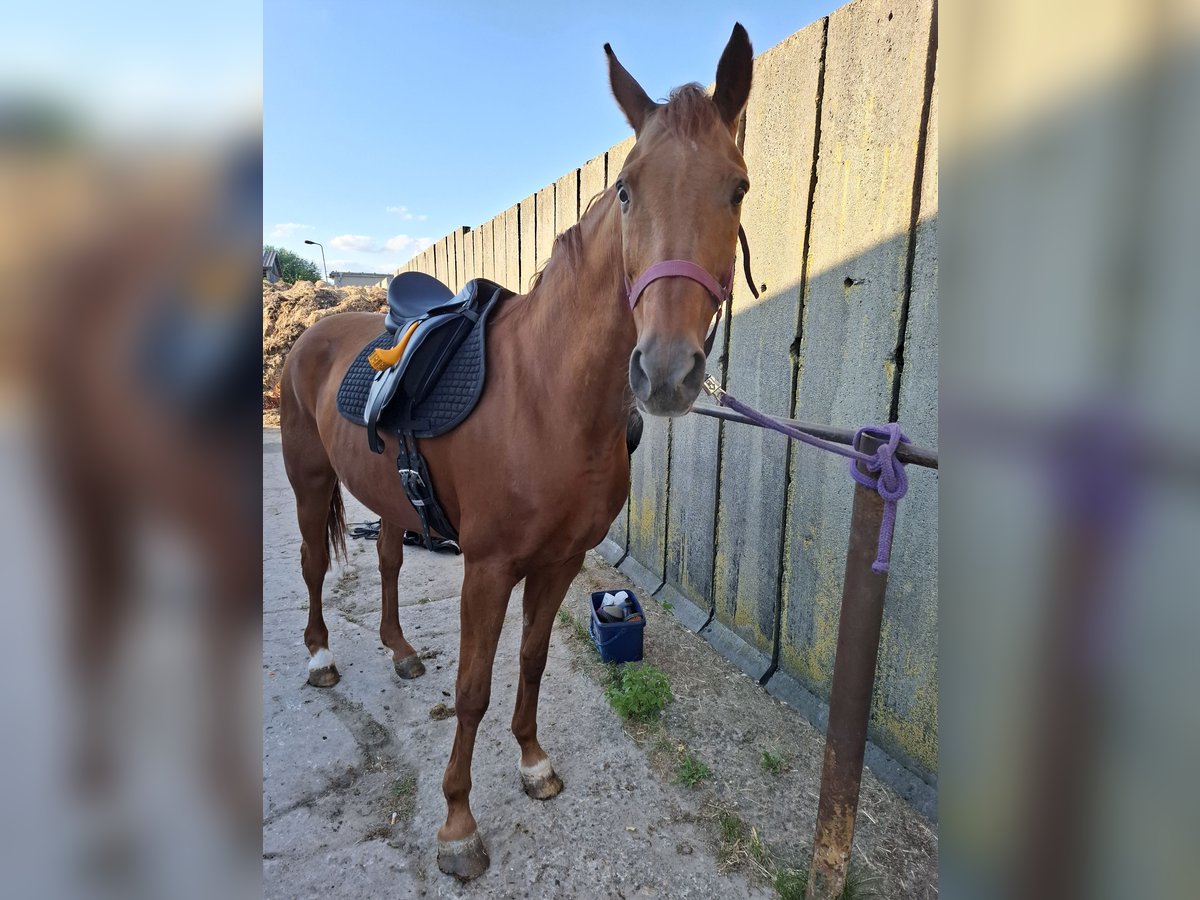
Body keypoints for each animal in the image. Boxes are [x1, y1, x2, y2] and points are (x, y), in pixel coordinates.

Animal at [278, 22, 748, 883]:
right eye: (626, 189)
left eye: (737, 188)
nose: (665, 371)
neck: (548, 396)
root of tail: (319, 332)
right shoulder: (489, 568)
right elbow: (473, 688)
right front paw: (458, 825)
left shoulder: (559, 562)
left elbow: (528, 663)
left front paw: (532, 763)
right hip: (307, 478)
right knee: (313, 564)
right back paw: (321, 658)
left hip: (390, 494)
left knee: (388, 560)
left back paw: (399, 650)